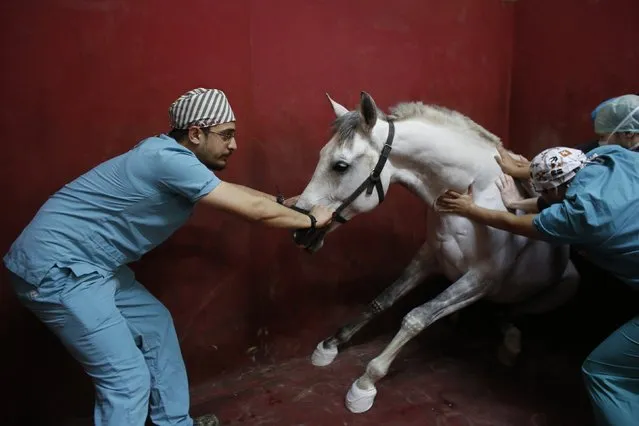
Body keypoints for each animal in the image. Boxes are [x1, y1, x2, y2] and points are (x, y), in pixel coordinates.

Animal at [292, 91, 584, 414]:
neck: (473, 191)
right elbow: (383, 300)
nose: (301, 231)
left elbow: (416, 317)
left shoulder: (481, 280)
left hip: (556, 292)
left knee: (509, 313)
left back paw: (509, 346)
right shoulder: (429, 258)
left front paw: (366, 383)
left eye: (340, 166)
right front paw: (331, 344)